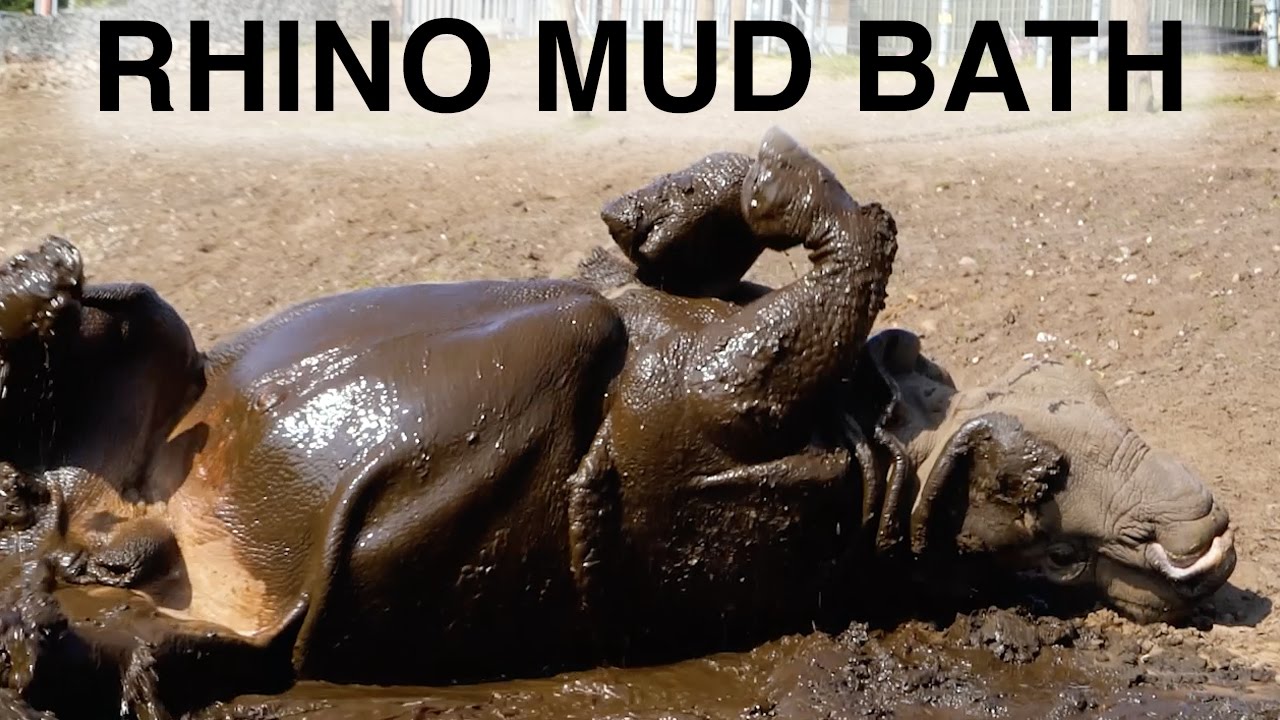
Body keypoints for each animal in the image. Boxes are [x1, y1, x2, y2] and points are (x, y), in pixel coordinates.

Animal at [0, 129, 1235, 719]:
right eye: (1048, 451)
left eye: (1044, 497)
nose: (1205, 529)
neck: (893, 436)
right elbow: (706, 249)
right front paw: (672, 208)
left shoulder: (746, 402)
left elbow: (841, 254)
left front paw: (747, 194)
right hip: (149, 349)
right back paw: (41, 289)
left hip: (227, 620)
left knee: (116, 640)